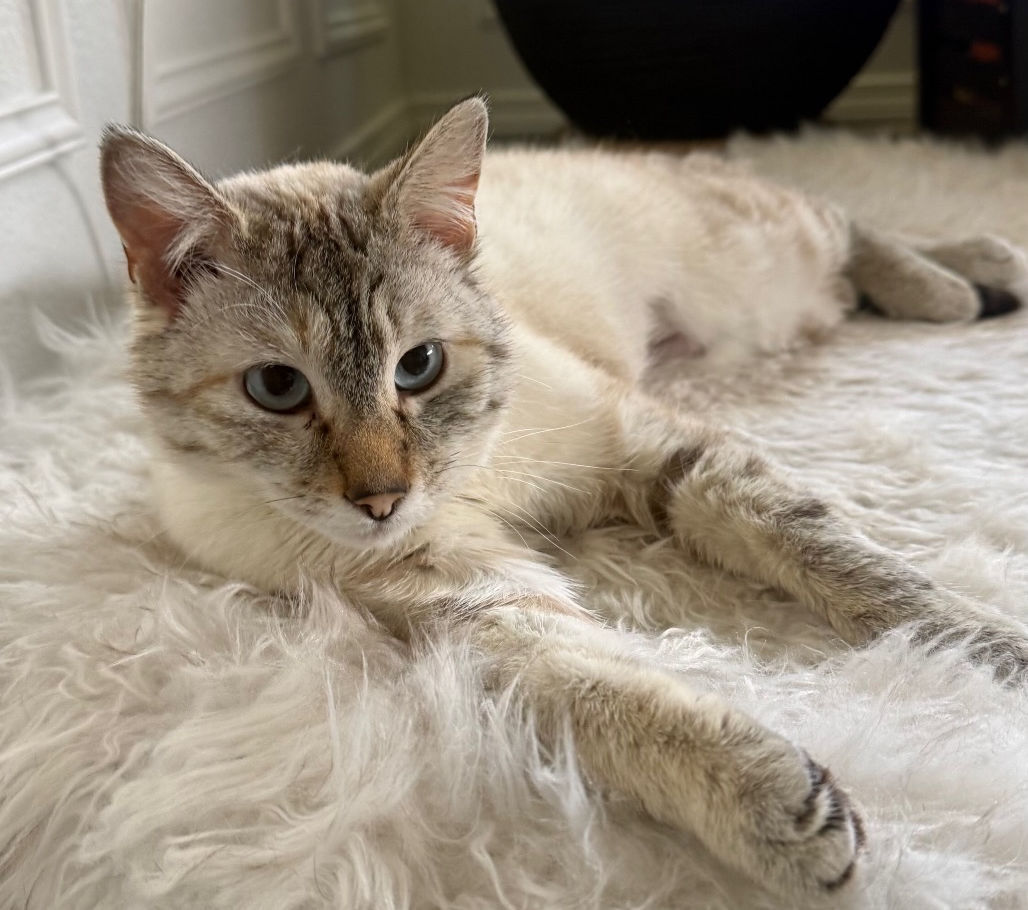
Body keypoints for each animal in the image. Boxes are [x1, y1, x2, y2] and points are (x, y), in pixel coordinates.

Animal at [99, 97, 1028, 900]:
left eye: (419, 366)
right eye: (277, 389)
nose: (383, 500)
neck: (471, 481)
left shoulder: (654, 450)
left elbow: (855, 569)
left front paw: (983, 650)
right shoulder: (473, 598)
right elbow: (607, 693)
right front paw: (771, 809)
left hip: (756, 282)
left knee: (847, 222)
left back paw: (974, 277)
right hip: (766, 311)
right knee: (845, 257)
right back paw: (982, 281)